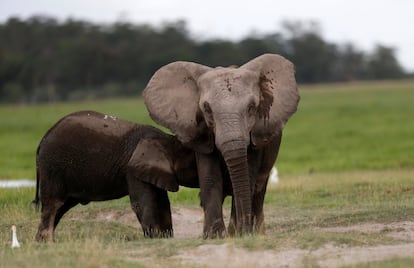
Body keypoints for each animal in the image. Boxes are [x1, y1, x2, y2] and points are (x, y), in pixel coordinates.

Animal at [142, 53, 298, 238]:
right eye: (207, 109)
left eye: (252, 107)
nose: (244, 230)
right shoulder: (201, 132)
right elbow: (210, 178)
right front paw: (214, 236)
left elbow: (248, 177)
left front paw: (237, 234)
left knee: (259, 190)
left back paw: (258, 232)